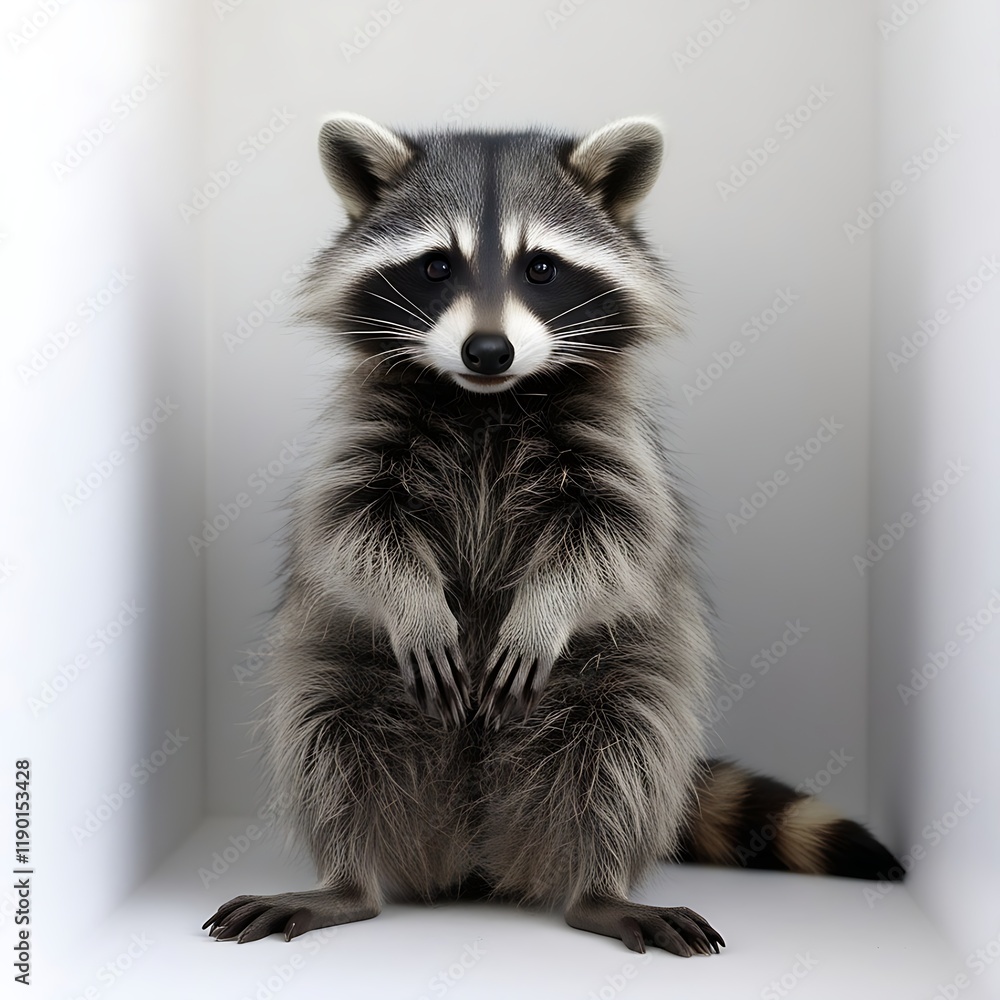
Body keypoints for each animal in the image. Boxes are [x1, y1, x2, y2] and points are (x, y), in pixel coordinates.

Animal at [203, 114, 903, 955]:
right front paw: (413, 603)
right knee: (329, 741)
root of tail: (473, 848)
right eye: (436, 266)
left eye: (541, 268)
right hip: (346, 670)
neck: (486, 399)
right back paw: (348, 880)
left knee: (623, 752)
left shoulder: (613, 442)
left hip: (617, 680)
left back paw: (597, 888)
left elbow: (616, 535)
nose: (488, 350)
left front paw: (546, 609)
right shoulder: (365, 433)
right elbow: (352, 526)